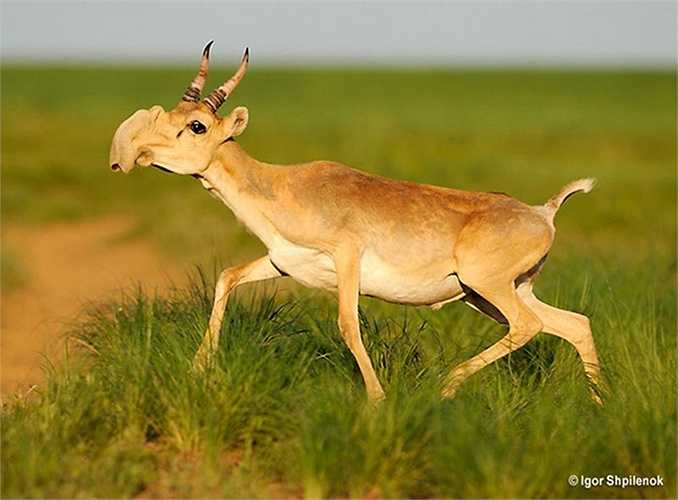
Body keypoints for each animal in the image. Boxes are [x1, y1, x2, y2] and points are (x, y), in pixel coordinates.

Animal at [109, 43, 602, 404]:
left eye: (196, 126)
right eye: (170, 115)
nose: (133, 153)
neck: (283, 185)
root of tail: (543, 212)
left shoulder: (347, 259)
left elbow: (348, 323)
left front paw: (377, 400)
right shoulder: (282, 263)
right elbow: (227, 277)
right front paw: (199, 369)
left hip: (487, 288)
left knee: (529, 326)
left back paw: (446, 386)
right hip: (494, 293)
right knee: (574, 324)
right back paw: (599, 406)